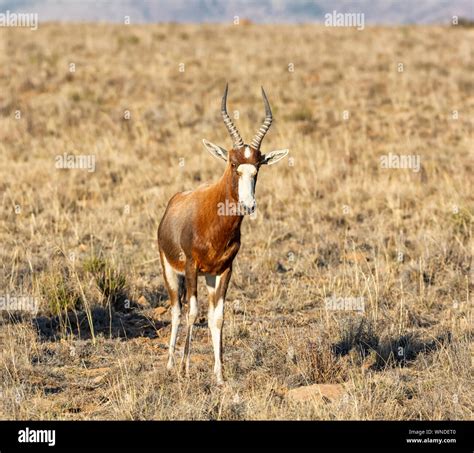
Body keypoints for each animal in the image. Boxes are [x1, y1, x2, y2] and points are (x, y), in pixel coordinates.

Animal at [158, 84, 288, 382]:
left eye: (258, 167)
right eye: (232, 163)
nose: (248, 205)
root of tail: (174, 200)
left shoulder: (225, 269)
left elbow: (218, 317)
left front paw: (219, 375)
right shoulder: (192, 266)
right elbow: (193, 312)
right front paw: (184, 369)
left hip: (208, 275)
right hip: (171, 270)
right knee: (176, 310)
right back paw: (170, 364)